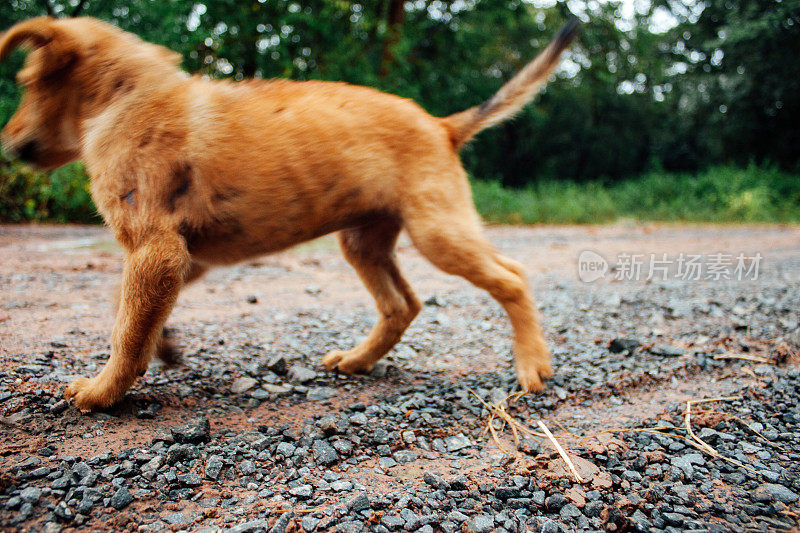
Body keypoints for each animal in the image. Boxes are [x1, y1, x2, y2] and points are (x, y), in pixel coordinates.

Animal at [0, 13, 576, 412]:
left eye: (25, 83)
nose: (6, 144)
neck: (124, 97)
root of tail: (441, 125)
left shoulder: (155, 249)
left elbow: (126, 329)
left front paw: (102, 392)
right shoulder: (182, 257)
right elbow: (131, 314)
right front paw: (161, 349)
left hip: (437, 230)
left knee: (512, 277)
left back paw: (533, 365)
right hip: (365, 240)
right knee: (403, 304)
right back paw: (357, 360)